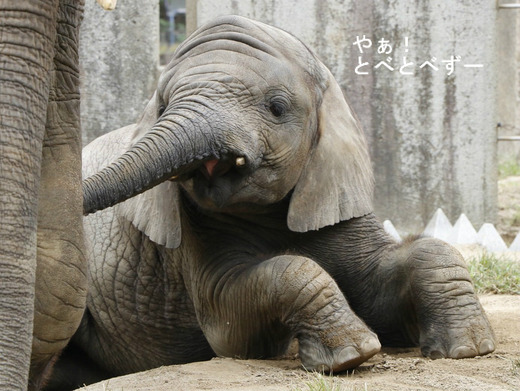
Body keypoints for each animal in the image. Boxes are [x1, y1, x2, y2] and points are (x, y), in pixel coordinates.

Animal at [71, 14, 494, 388]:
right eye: (163, 106)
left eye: (276, 107)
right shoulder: (194, 236)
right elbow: (232, 321)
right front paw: (352, 355)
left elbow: (406, 267)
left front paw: (469, 348)